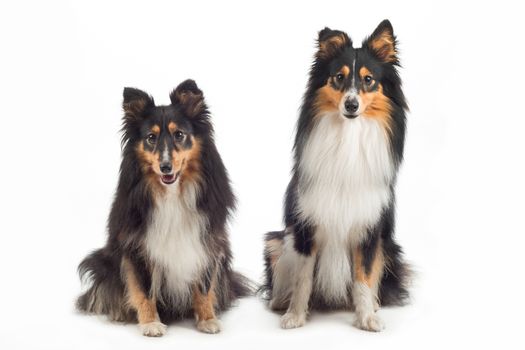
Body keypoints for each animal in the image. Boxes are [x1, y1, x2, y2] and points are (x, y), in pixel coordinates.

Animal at [262, 20, 410, 332]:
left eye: (368, 80)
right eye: (338, 78)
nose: (351, 105)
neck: (348, 137)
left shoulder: (368, 228)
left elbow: (363, 277)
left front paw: (367, 317)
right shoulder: (306, 225)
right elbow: (303, 278)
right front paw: (295, 315)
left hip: (389, 248)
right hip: (277, 241)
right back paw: (280, 302)